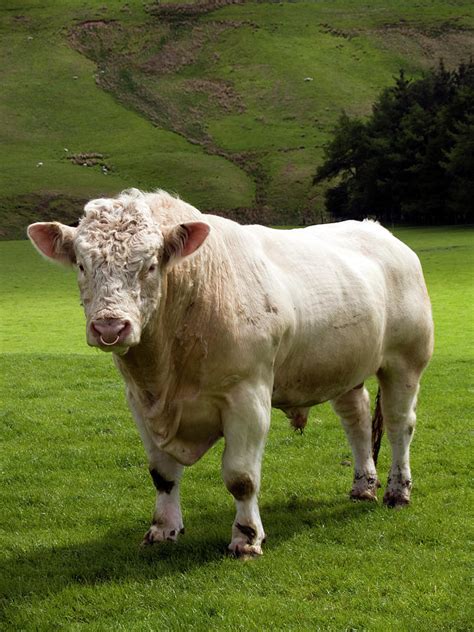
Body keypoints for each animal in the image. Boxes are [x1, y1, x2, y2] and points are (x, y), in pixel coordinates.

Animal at [25, 189, 434, 556]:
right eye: (81, 265)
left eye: (150, 265)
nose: (110, 327)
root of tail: (380, 232)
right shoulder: (140, 401)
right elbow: (162, 472)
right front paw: (163, 529)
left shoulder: (247, 397)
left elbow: (241, 477)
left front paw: (247, 537)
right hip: (344, 365)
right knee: (358, 420)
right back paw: (363, 485)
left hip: (405, 361)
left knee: (399, 425)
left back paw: (398, 491)